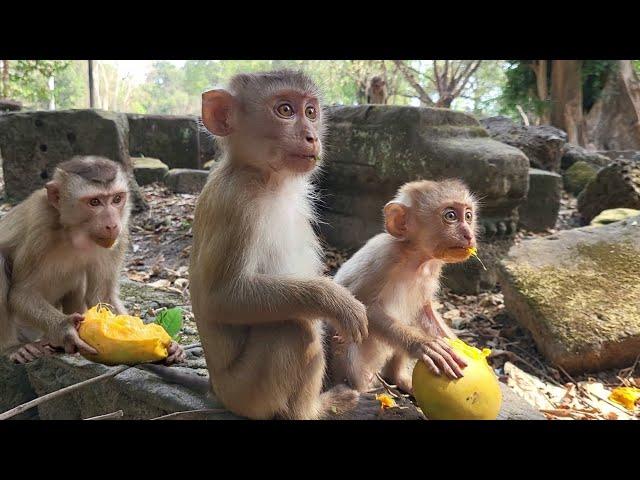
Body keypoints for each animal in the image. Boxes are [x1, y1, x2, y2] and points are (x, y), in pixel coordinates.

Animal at [0, 157, 185, 364]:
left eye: (117, 199)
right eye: (94, 202)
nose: (112, 225)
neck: (75, 233)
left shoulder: (120, 236)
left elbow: (103, 297)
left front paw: (172, 346)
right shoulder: (40, 226)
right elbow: (22, 293)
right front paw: (65, 329)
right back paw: (12, 347)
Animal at [190, 70, 368, 420]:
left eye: (311, 112)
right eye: (285, 110)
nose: (312, 136)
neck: (267, 179)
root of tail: (216, 391)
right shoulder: (237, 204)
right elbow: (221, 297)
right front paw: (335, 301)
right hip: (246, 394)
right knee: (293, 330)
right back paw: (309, 411)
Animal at [328, 179, 478, 394]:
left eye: (468, 216)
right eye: (450, 216)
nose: (469, 234)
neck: (416, 259)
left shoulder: (432, 270)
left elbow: (425, 310)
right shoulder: (384, 257)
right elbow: (360, 309)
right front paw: (424, 345)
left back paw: (397, 378)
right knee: (345, 335)